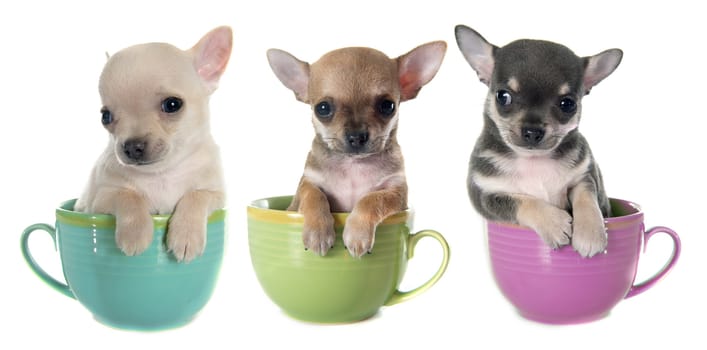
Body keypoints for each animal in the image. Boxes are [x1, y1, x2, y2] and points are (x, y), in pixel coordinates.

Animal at [76, 26, 234, 262]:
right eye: (106, 117)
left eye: (172, 104)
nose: (132, 146)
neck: (162, 174)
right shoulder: (101, 199)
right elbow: (128, 195)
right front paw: (135, 234)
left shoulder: (215, 194)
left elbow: (196, 195)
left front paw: (186, 235)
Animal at [268, 42, 446, 258]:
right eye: (322, 108)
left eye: (388, 106)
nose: (356, 136)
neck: (353, 164)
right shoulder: (306, 184)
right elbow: (314, 196)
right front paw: (318, 232)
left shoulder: (396, 193)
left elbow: (372, 199)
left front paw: (357, 234)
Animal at [456, 25, 624, 258]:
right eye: (502, 96)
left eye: (568, 104)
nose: (533, 131)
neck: (533, 160)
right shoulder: (486, 195)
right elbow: (522, 201)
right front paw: (554, 223)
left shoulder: (584, 176)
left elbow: (586, 197)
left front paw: (590, 233)